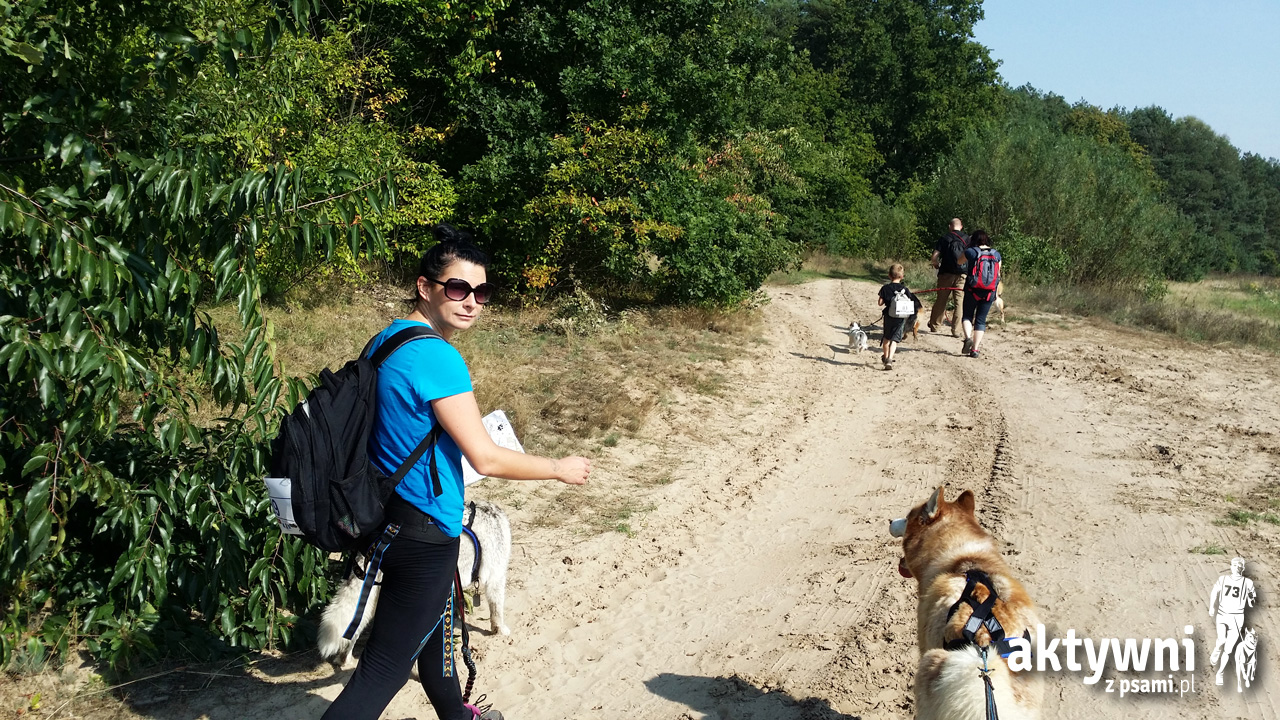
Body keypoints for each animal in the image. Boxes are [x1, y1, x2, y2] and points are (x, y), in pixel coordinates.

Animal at [318, 500, 513, 669]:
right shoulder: (496, 578)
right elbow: (497, 610)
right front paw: (500, 630)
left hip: (370, 600)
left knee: (352, 631)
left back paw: (344, 660)